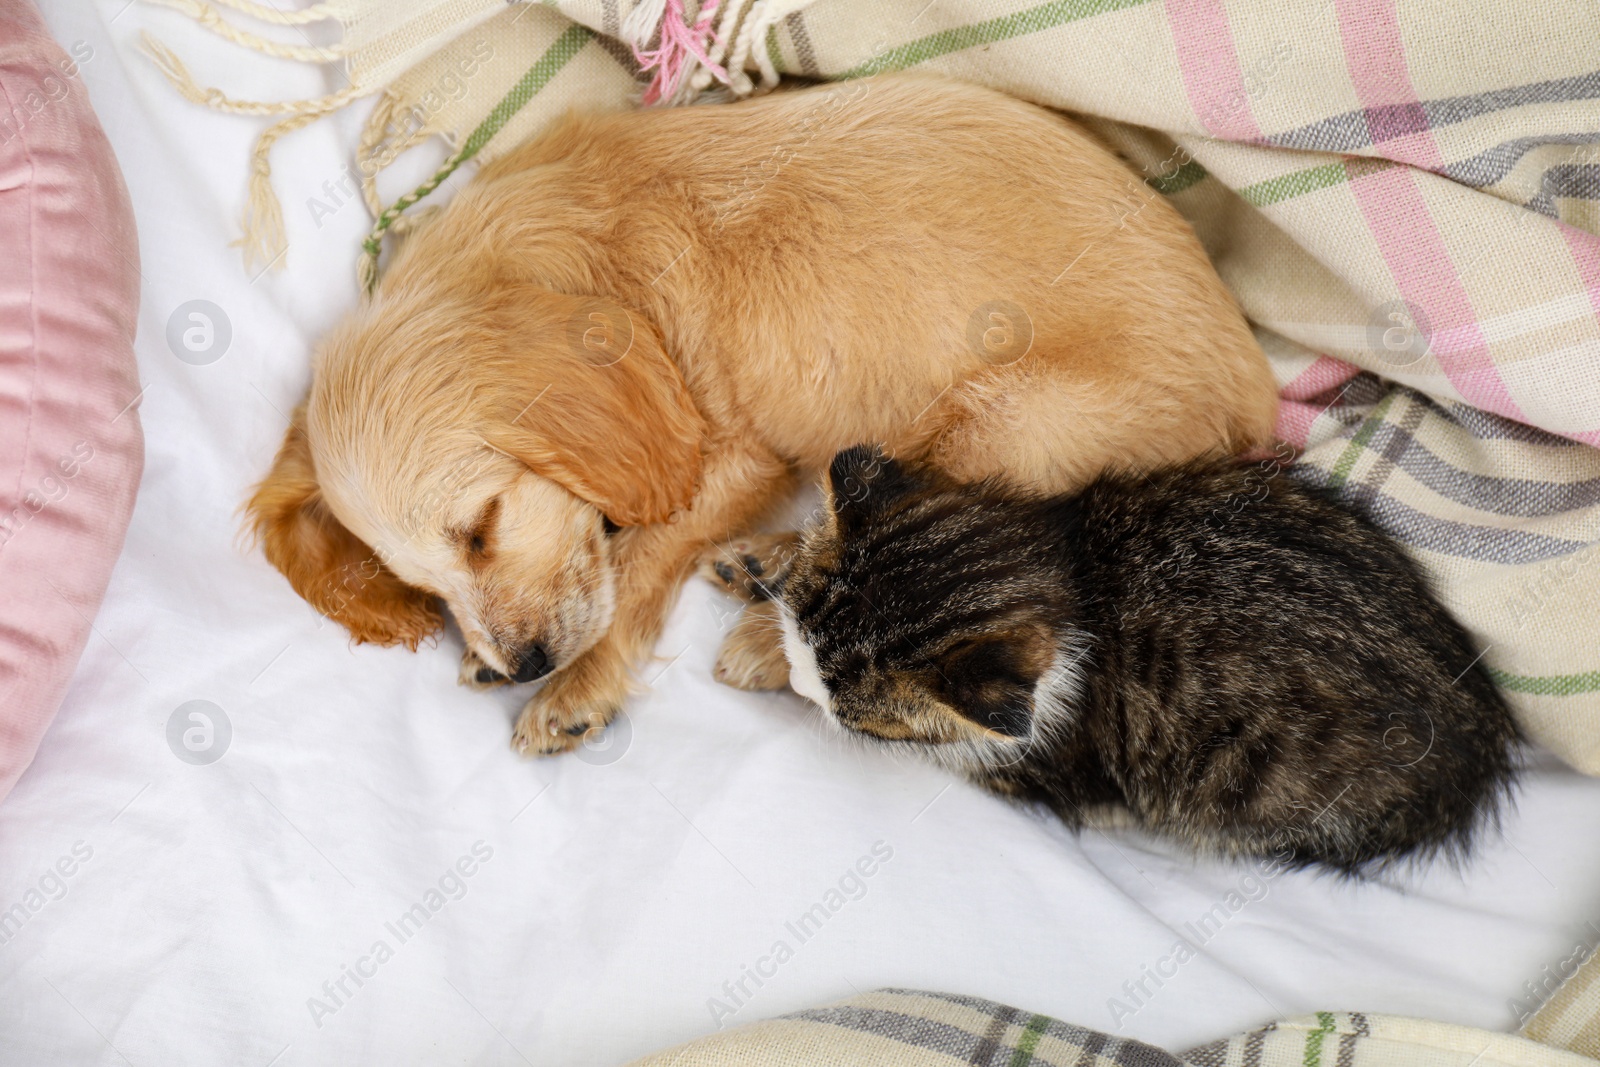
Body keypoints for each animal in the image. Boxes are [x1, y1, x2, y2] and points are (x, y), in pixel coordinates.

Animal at [246, 70, 1273, 755]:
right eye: (419, 582)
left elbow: (641, 555)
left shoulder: (738, 456)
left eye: (480, 525)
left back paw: (767, 640)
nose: (524, 662)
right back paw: (766, 566)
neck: (590, 251)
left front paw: (579, 683)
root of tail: (1261, 400)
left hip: (1008, 426)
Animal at [755, 447, 1516, 870]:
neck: (1073, 576)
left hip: (1251, 788)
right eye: (792, 616)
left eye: (854, 714)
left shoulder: (1042, 757)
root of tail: (1482, 742)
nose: (797, 680)